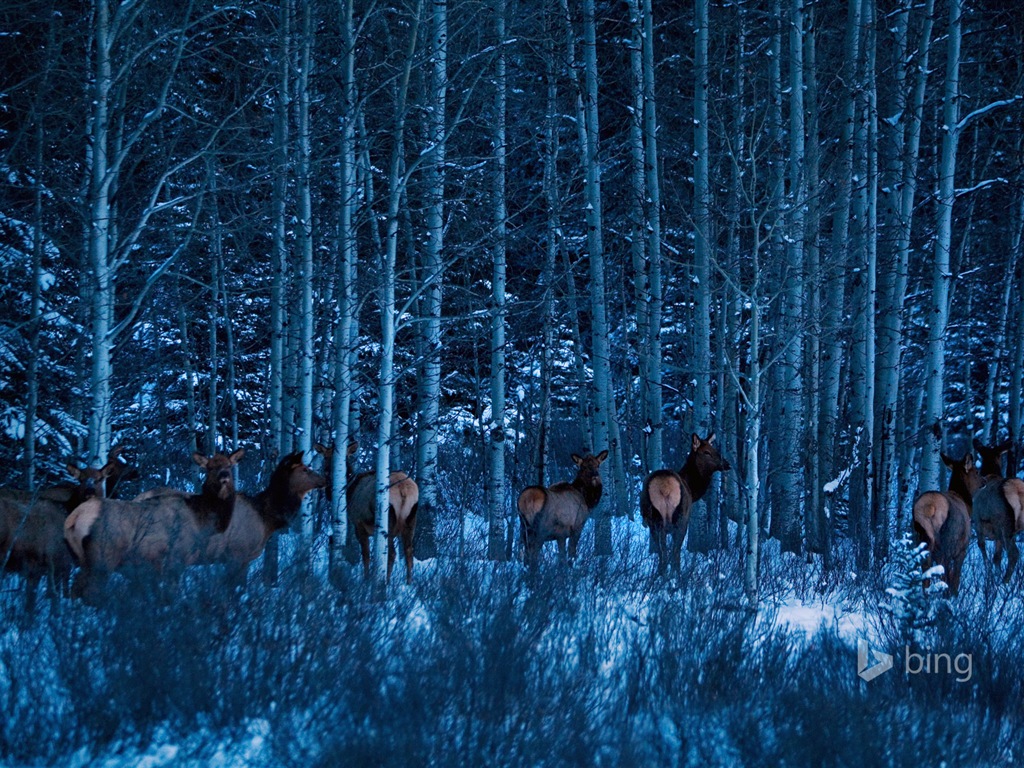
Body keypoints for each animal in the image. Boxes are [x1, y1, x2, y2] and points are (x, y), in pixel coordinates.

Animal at [65, 448, 245, 606]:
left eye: (229, 465)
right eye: (210, 468)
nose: (224, 476)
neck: (202, 519)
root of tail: (74, 518)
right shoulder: (176, 558)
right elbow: (170, 594)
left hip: (82, 559)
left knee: (75, 590)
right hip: (103, 557)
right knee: (90, 592)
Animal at [346, 444, 417, 581]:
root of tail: (403, 488)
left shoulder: (358, 523)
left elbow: (366, 554)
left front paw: (366, 579)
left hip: (388, 518)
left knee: (392, 553)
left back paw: (386, 581)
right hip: (411, 519)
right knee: (409, 552)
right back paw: (409, 581)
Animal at [638, 436, 729, 573]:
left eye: (714, 448)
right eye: (706, 452)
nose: (727, 463)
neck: (693, 489)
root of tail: (664, 486)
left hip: (652, 519)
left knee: (662, 552)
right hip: (680, 518)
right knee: (673, 552)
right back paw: (676, 576)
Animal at [913, 454, 983, 598]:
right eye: (976, 472)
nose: (984, 481)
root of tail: (929, 508)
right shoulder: (962, 549)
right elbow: (955, 577)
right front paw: (955, 596)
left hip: (922, 539)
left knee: (926, 573)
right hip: (946, 542)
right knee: (944, 573)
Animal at [966, 438, 1024, 581]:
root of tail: (1016, 488)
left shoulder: (978, 521)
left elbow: (982, 546)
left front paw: (989, 574)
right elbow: (996, 557)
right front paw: (995, 575)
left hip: (1003, 524)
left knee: (1014, 554)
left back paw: (1005, 581)